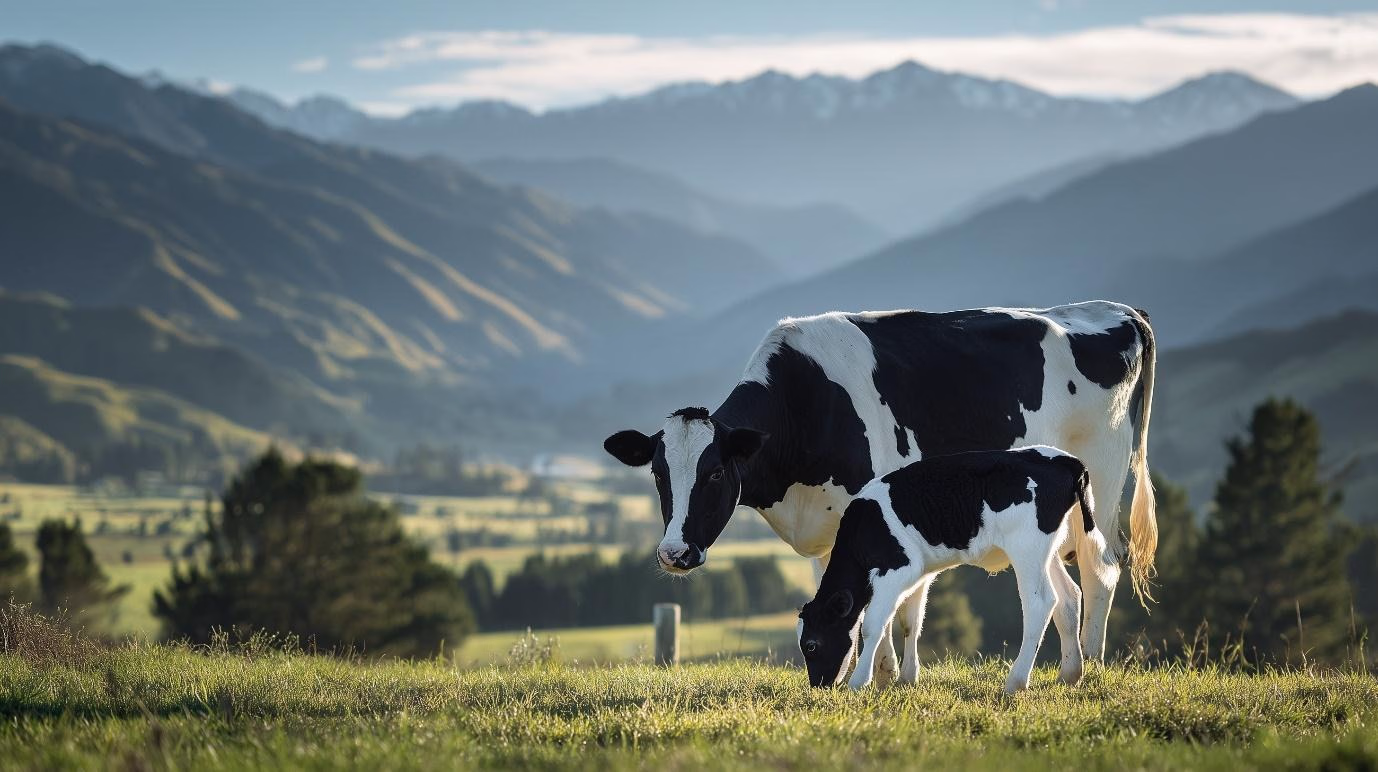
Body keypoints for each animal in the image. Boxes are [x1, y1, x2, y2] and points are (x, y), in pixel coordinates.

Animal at [798, 445, 1107, 693]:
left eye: (811, 645)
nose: (818, 686)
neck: (863, 529)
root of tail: (1063, 459)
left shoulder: (896, 569)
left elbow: (874, 624)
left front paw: (858, 683)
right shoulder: (919, 573)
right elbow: (911, 621)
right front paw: (908, 679)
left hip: (1027, 548)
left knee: (1041, 602)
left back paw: (1016, 682)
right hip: (1047, 551)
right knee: (1069, 597)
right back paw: (1070, 674)